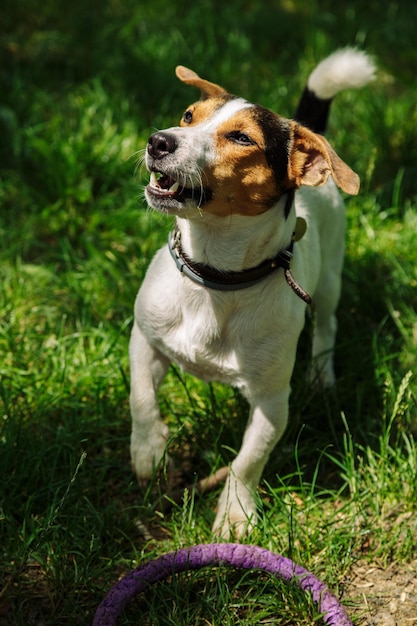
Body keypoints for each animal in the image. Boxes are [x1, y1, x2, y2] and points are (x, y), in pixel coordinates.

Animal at [127, 48, 374, 536]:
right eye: (188, 116)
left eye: (242, 138)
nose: (158, 141)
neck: (214, 276)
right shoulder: (144, 338)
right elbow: (140, 396)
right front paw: (148, 451)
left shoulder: (272, 402)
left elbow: (247, 461)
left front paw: (235, 513)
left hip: (331, 277)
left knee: (328, 323)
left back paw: (323, 375)